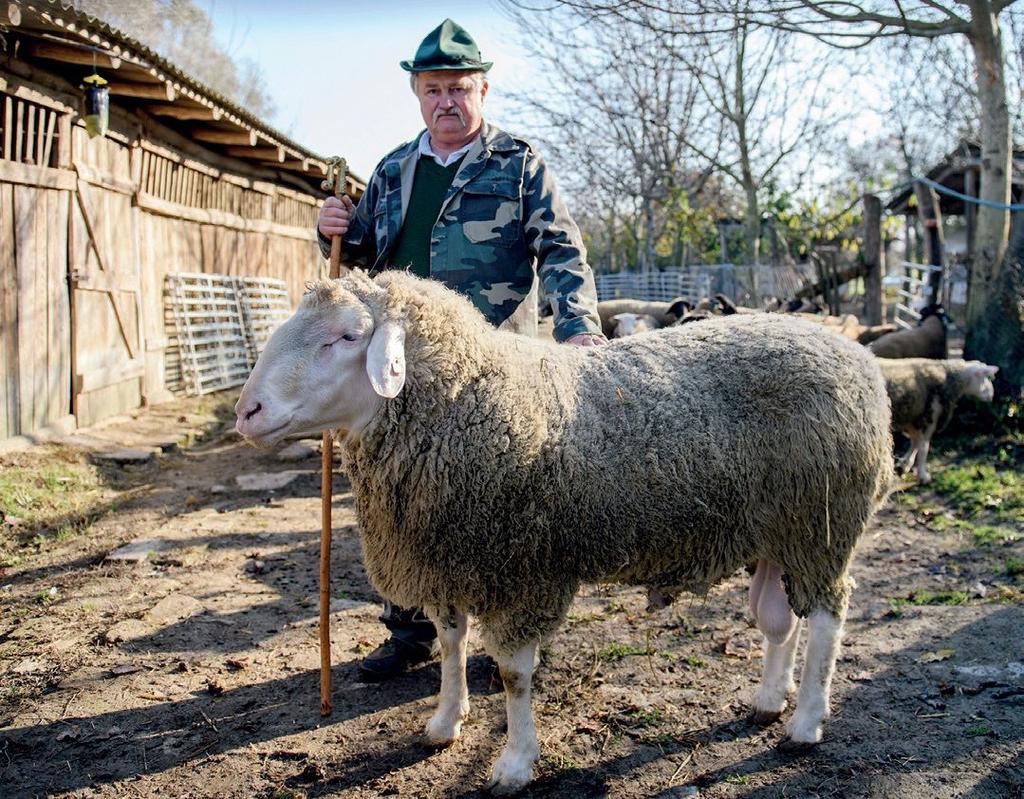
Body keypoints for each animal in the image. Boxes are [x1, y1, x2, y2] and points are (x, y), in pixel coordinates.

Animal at [235, 272, 892, 794]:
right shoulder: (450, 559)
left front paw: (514, 764)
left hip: (822, 524)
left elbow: (513, 676)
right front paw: (446, 722)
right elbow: (450, 646)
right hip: (777, 532)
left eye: (347, 336)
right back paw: (769, 700)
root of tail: (852, 352)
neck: (475, 401)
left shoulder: (522, 573)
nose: (247, 412)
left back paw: (805, 723)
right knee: (778, 620)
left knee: (827, 618)